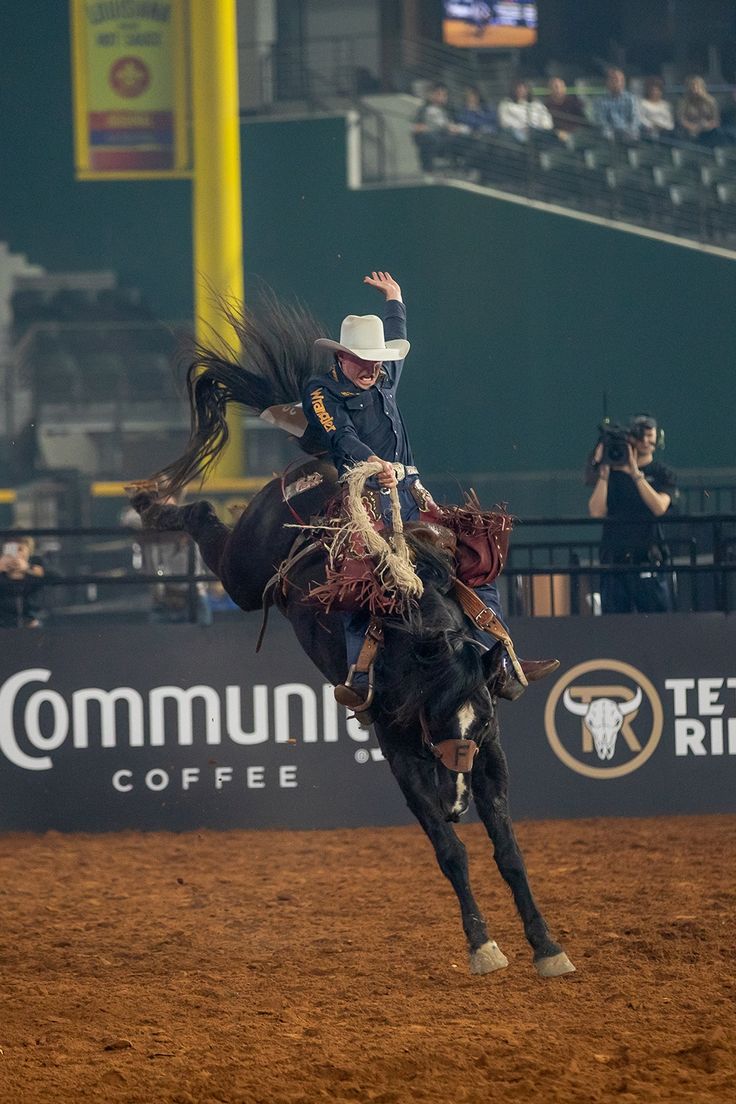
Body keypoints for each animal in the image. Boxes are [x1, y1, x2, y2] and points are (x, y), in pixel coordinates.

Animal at [129, 298, 573, 980]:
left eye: (476, 719)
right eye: (438, 716)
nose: (457, 799)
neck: (422, 646)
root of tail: (308, 466)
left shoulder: (491, 750)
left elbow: (509, 850)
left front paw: (547, 946)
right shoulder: (398, 747)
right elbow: (451, 851)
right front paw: (482, 944)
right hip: (243, 575)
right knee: (205, 519)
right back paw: (152, 503)